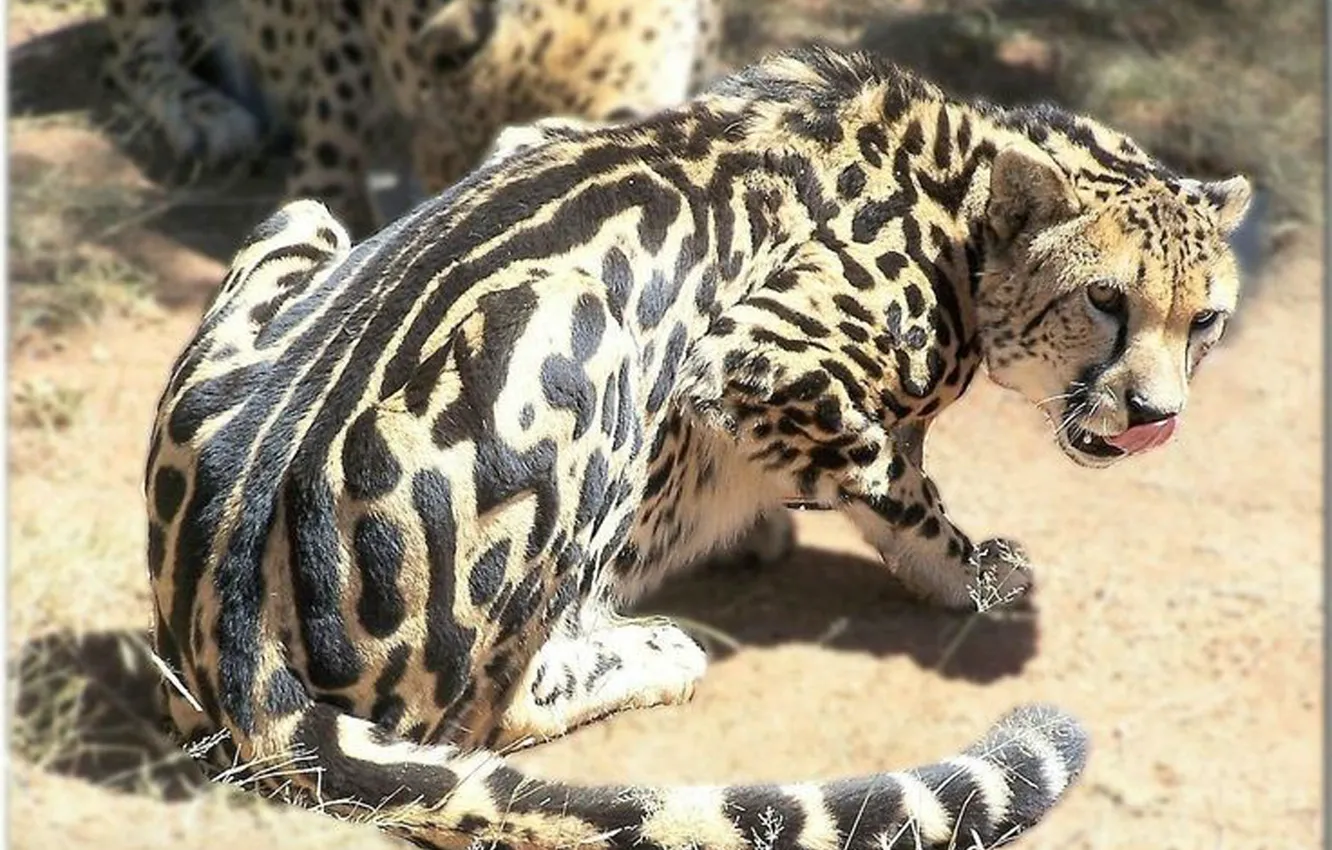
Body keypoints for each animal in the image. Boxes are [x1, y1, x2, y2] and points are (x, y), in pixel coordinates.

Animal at [144, 45, 1252, 849]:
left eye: (1205, 321)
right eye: (1105, 299)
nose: (1154, 415)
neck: (963, 191)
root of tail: (230, 648)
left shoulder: (528, 135)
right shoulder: (757, 352)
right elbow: (893, 476)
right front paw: (970, 572)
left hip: (303, 218)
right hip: (586, 328)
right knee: (484, 715)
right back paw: (646, 648)